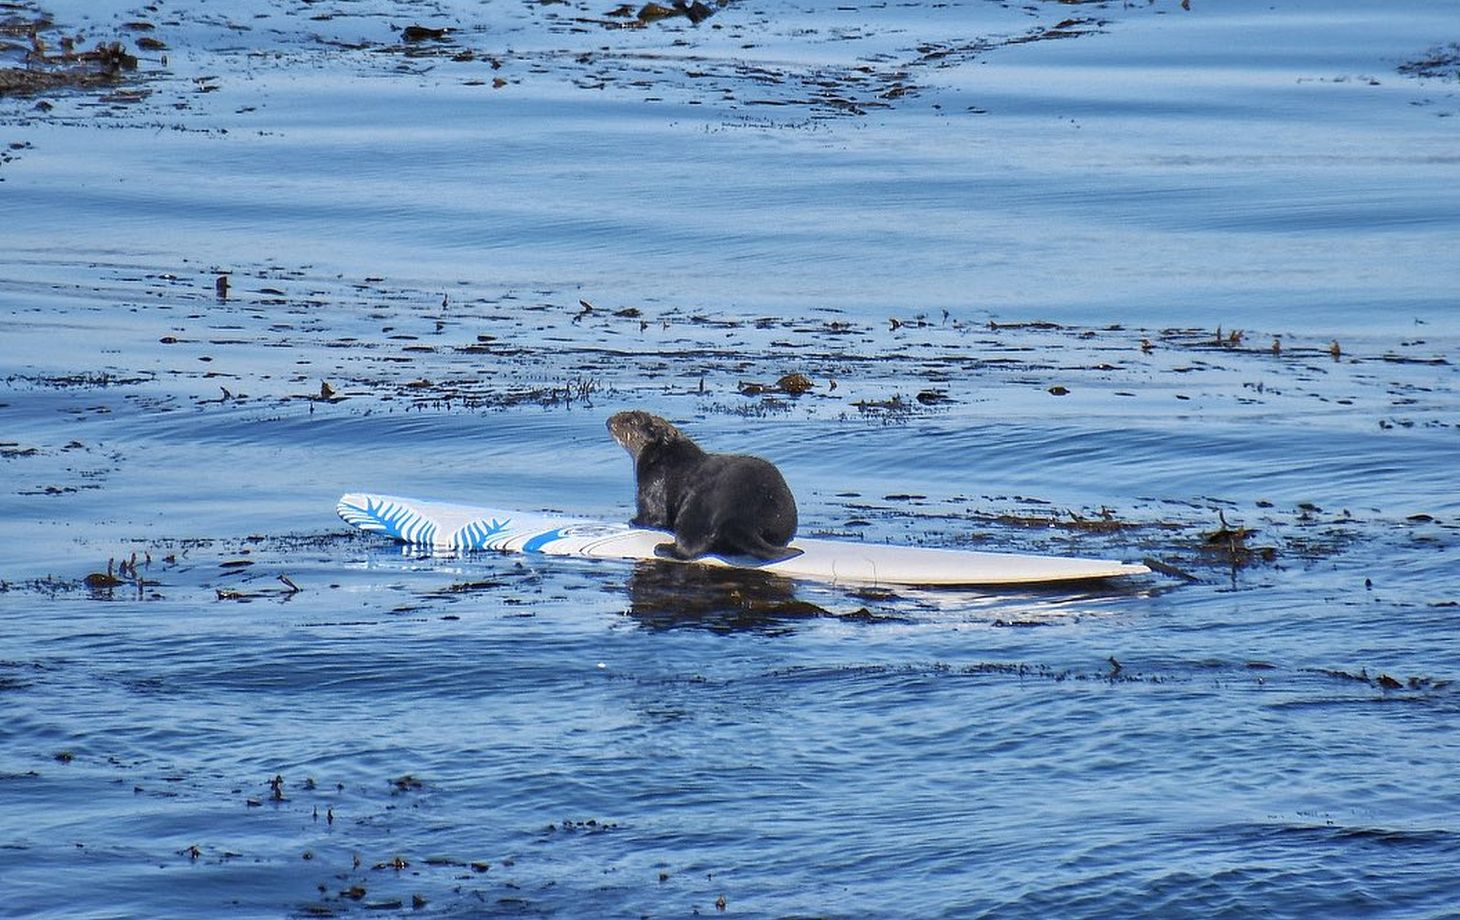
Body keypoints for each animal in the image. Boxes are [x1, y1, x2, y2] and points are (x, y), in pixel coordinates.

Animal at [610, 411, 805, 563]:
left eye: (630, 421)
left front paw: (635, 521)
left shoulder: (652, 482)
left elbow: (654, 517)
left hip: (697, 506)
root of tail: (741, 518)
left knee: (689, 546)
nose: (610, 420)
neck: (666, 455)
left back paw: (664, 548)